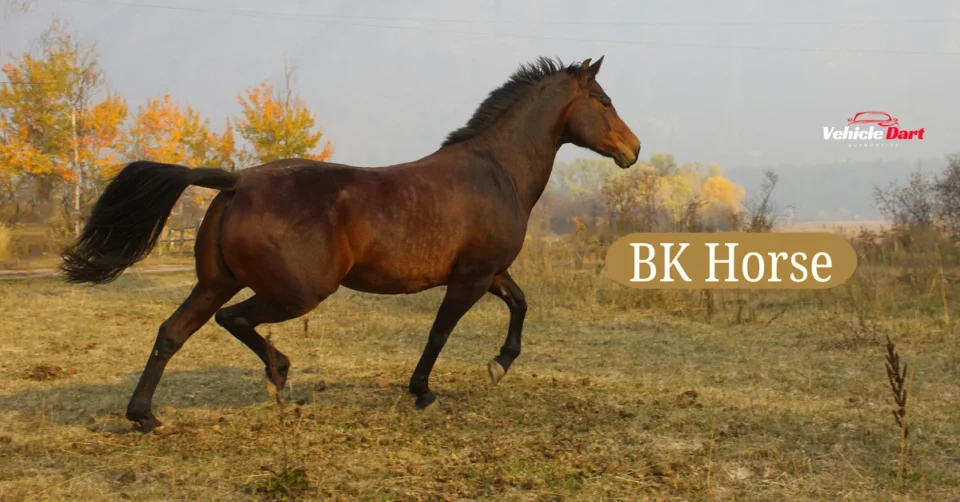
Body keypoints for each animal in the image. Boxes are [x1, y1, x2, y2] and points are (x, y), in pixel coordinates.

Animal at [60, 55, 641, 433]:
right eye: (604, 101)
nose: (633, 149)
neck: (495, 171)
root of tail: (237, 182)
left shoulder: (489, 272)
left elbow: (520, 304)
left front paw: (500, 364)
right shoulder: (471, 278)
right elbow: (440, 332)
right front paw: (424, 392)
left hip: (214, 283)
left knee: (172, 332)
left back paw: (146, 415)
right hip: (297, 292)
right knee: (235, 320)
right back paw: (279, 377)